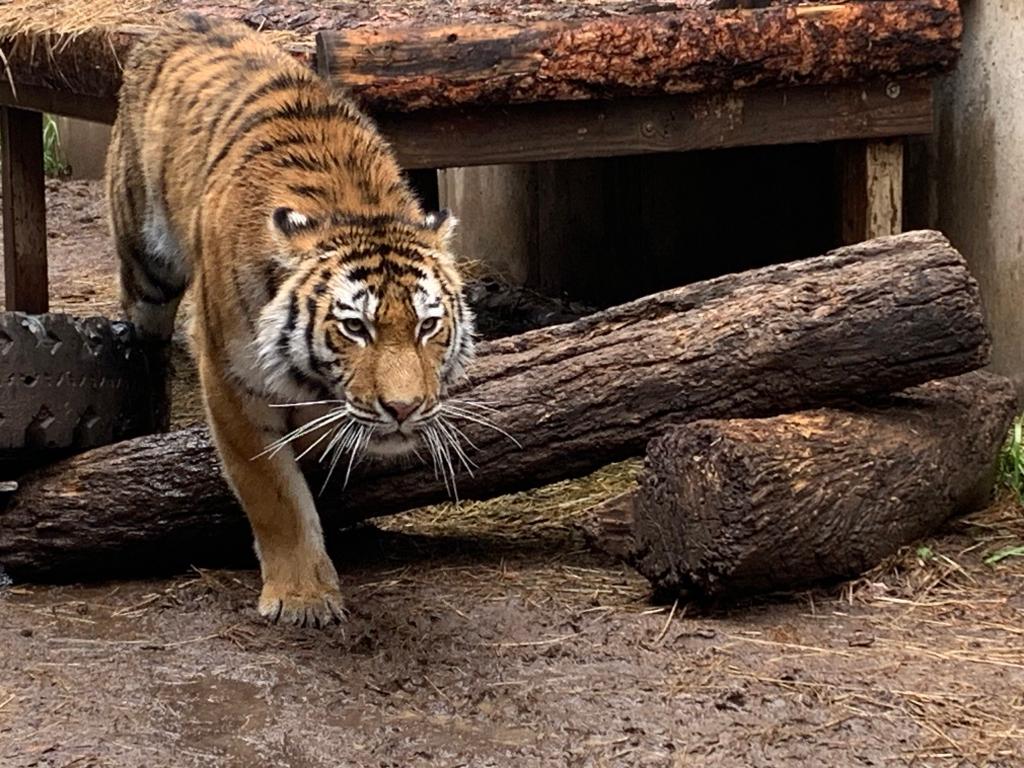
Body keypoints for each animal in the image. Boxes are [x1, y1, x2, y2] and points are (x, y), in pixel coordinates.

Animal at [105, 15, 473, 626]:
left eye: (427, 326)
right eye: (356, 328)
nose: (403, 409)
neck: (356, 207)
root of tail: (179, 18)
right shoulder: (231, 380)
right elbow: (273, 491)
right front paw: (302, 597)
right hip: (146, 262)